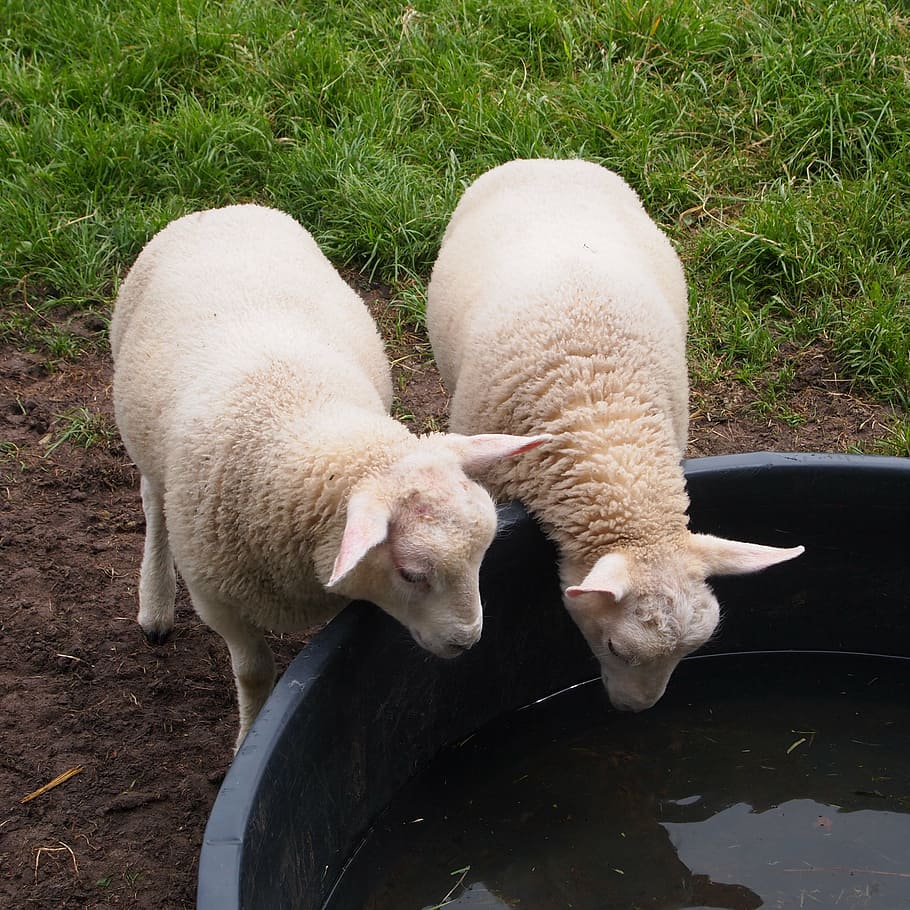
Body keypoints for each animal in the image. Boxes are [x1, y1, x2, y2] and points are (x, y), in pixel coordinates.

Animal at [110, 203, 544, 749]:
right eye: (412, 574)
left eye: (484, 554)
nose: (467, 642)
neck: (297, 419)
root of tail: (223, 207)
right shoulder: (219, 602)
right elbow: (254, 672)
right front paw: (247, 739)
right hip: (141, 436)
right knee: (152, 501)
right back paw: (155, 606)